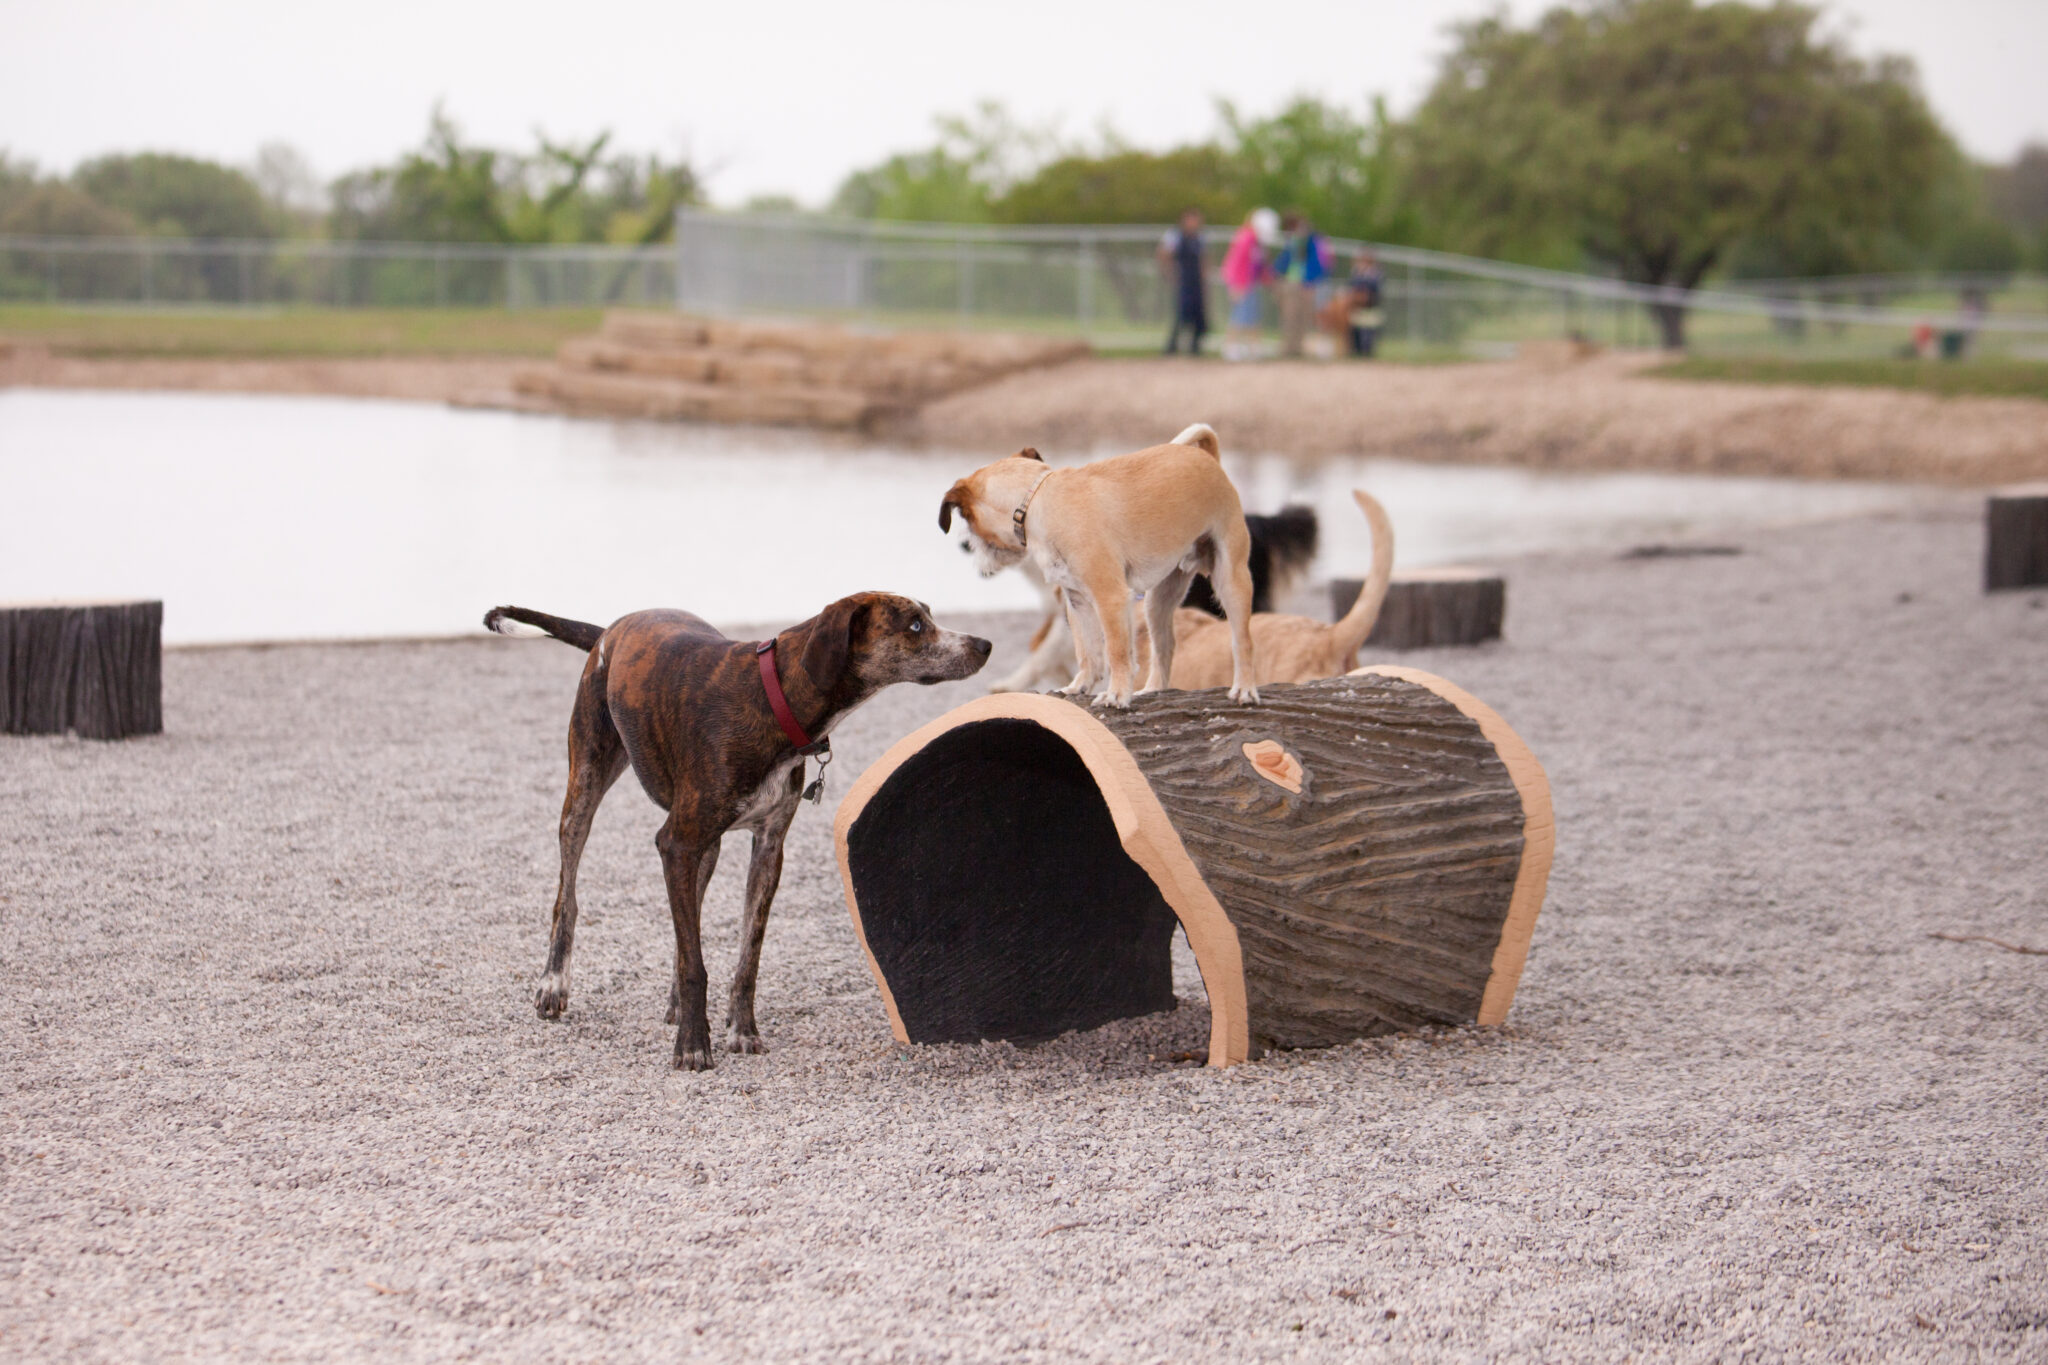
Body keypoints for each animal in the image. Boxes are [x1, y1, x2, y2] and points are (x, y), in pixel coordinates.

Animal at [481, 593, 991, 1072]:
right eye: (915, 625)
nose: (984, 644)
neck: (775, 695)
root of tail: (611, 629)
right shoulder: (675, 843)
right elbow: (695, 963)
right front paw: (692, 1044)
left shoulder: (766, 847)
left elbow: (747, 953)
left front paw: (740, 1029)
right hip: (586, 787)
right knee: (567, 894)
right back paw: (554, 984)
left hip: (705, 849)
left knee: (686, 919)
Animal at [937, 423, 1253, 703]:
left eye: (967, 523)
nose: (968, 549)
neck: (1036, 501)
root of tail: (1209, 459)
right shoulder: (1077, 601)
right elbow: (1087, 652)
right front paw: (1080, 686)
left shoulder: (1110, 599)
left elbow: (1116, 651)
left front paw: (1117, 695)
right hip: (1158, 602)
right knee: (1165, 647)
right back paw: (1153, 690)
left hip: (1230, 582)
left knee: (1241, 641)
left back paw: (1244, 690)